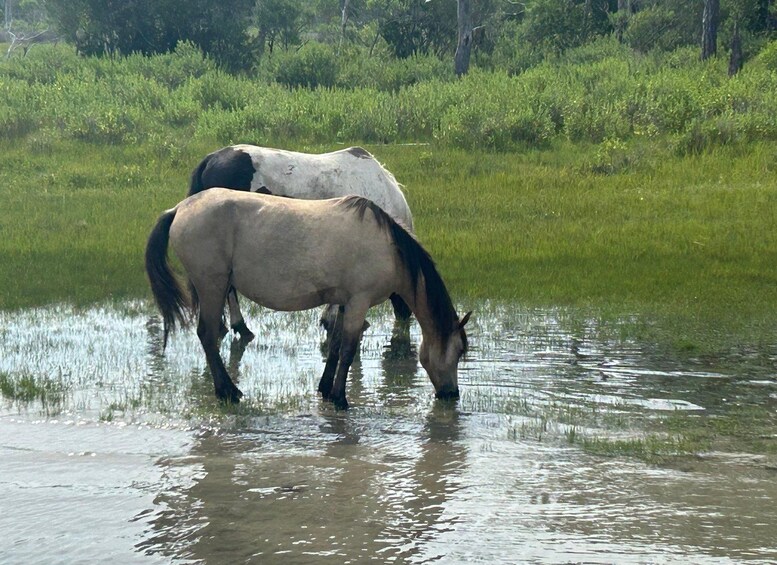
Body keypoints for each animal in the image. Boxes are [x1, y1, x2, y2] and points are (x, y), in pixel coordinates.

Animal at [145, 188, 470, 409]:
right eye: (457, 352)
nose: (452, 394)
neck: (389, 250)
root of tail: (180, 208)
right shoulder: (359, 301)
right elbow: (349, 349)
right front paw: (340, 399)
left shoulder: (344, 302)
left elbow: (336, 345)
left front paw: (326, 389)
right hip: (212, 286)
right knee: (208, 335)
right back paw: (228, 391)